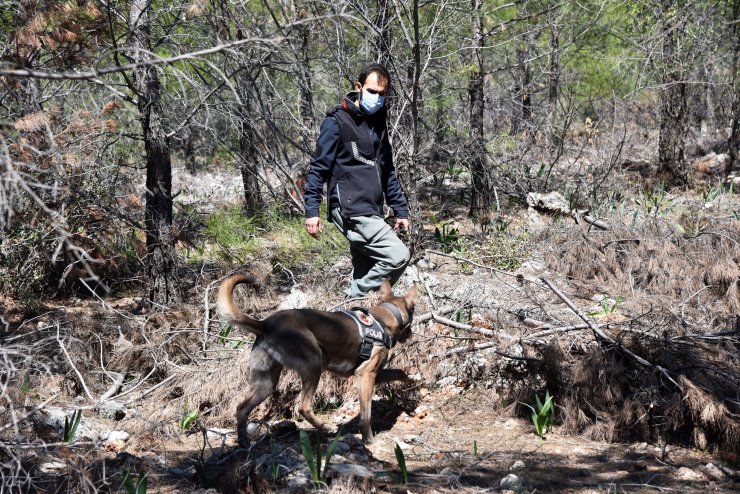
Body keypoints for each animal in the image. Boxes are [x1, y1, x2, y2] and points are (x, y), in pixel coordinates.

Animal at [217, 274, 420, 444]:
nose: (410, 334)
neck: (384, 317)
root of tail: (265, 324)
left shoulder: (375, 374)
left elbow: (399, 372)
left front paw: (414, 378)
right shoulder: (365, 374)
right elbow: (365, 415)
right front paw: (369, 439)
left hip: (266, 382)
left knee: (241, 408)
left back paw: (243, 444)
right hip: (313, 365)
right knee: (303, 407)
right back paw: (327, 428)